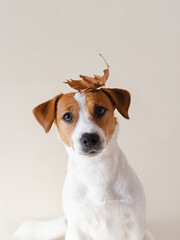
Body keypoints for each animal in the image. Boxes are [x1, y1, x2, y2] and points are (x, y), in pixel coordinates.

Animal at [14, 88, 154, 240]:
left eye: (100, 110)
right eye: (67, 116)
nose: (90, 138)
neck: (96, 169)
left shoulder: (135, 224)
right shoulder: (77, 228)